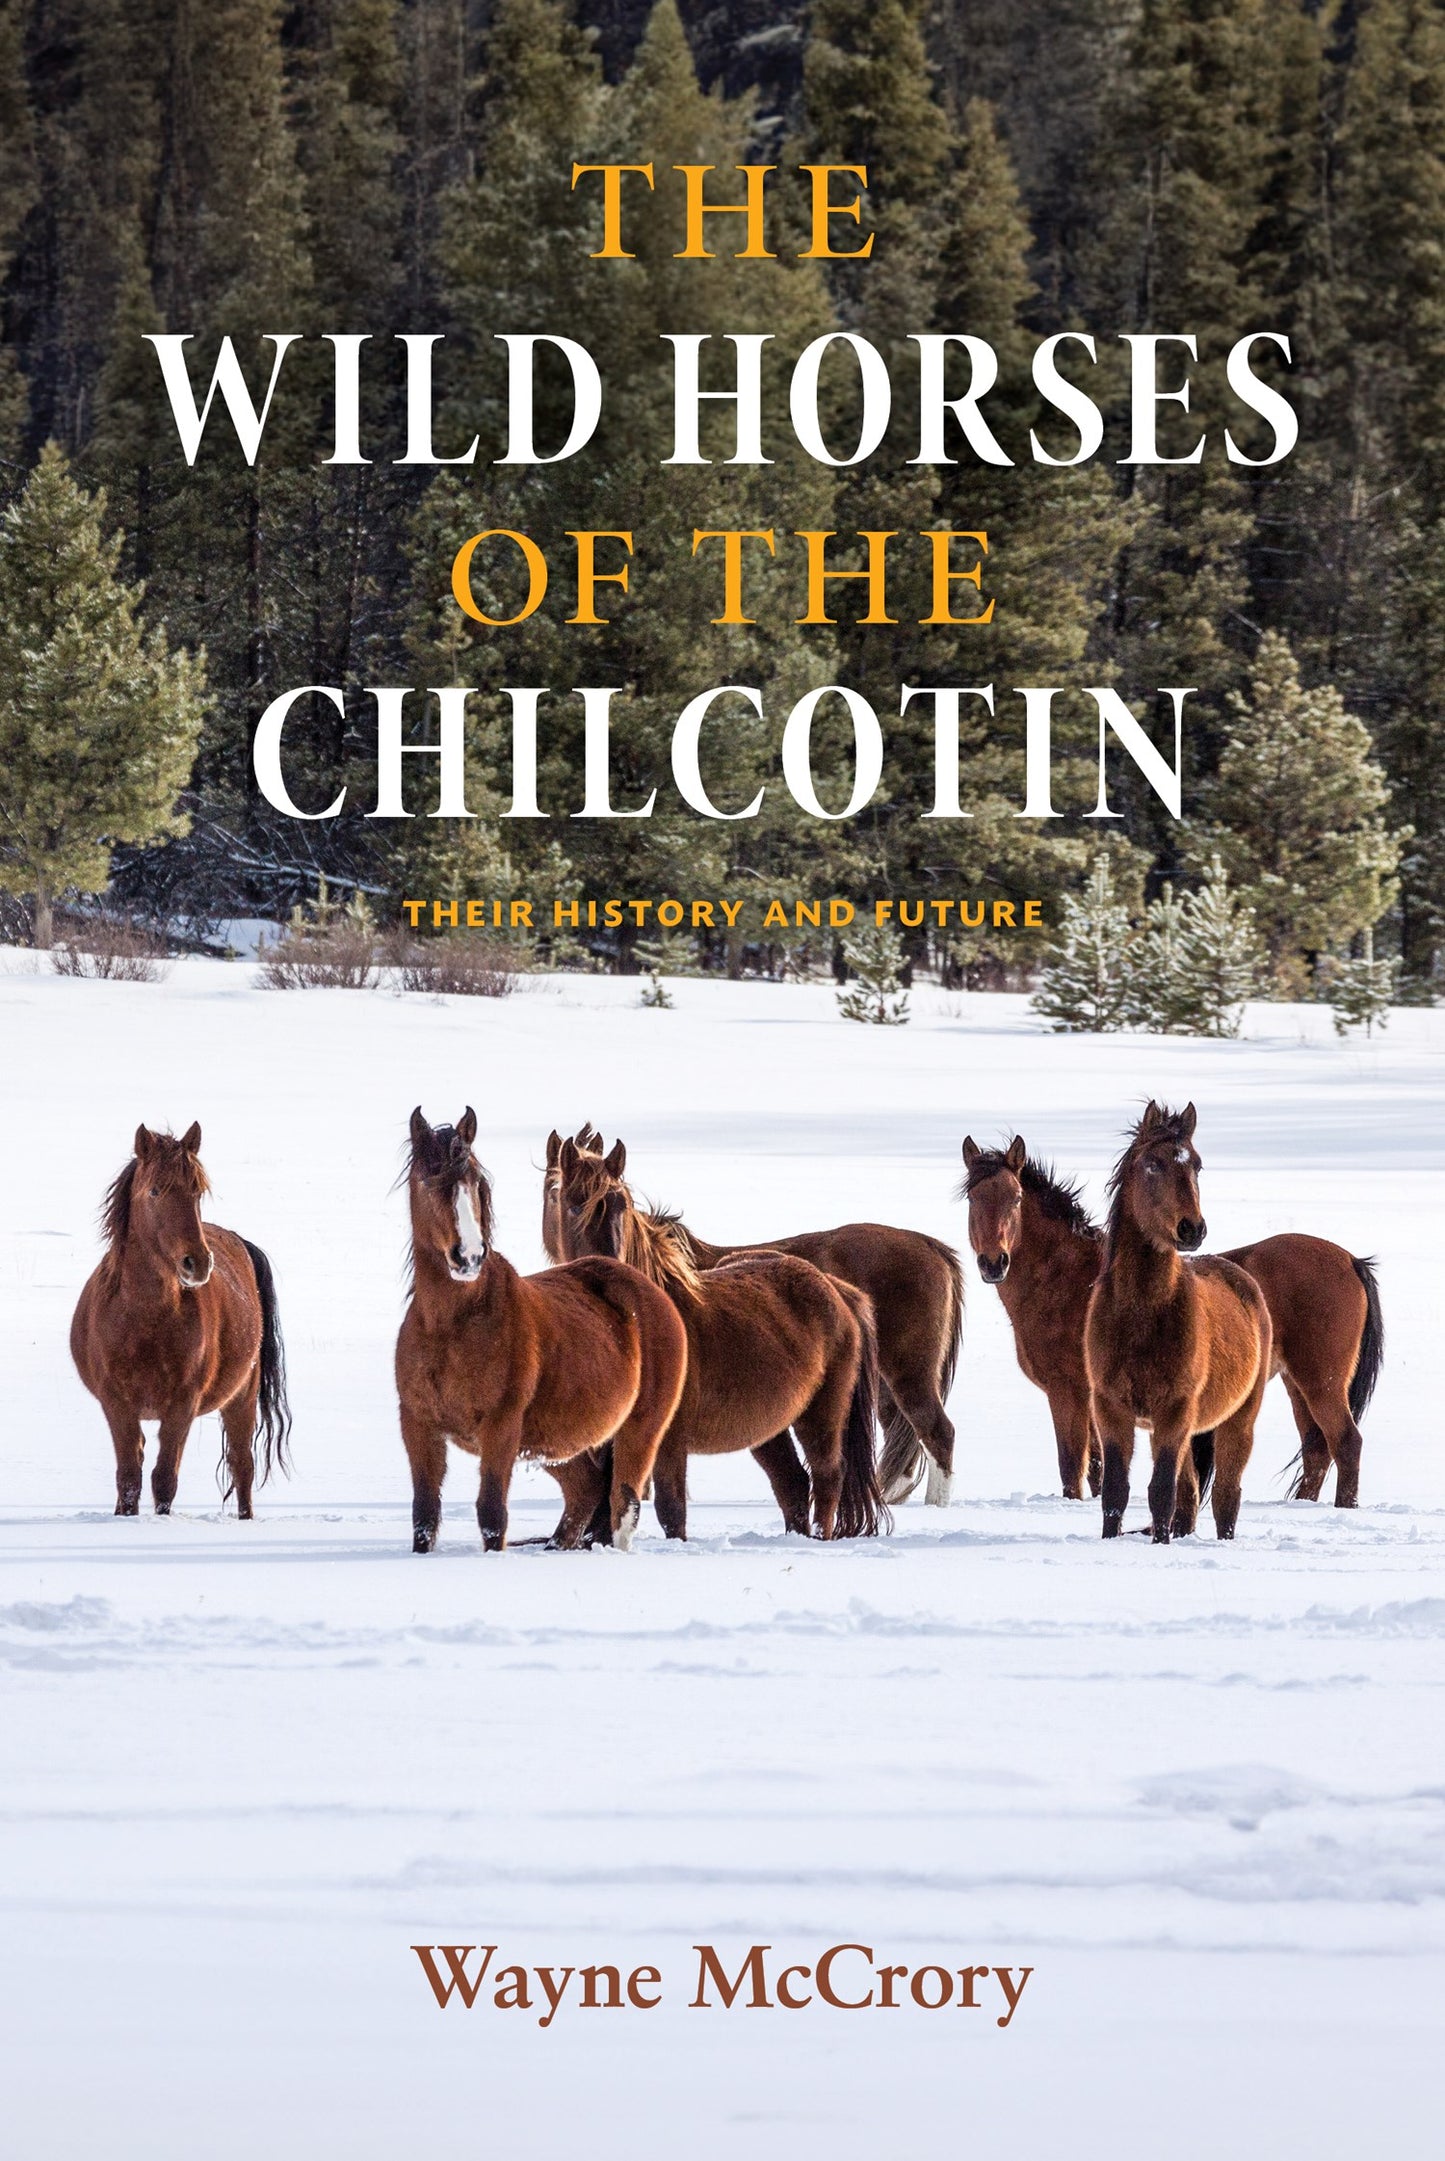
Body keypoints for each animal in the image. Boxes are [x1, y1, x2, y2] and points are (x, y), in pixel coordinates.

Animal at [70, 1123, 291, 1517]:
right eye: (155, 1190)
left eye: (197, 1191)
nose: (197, 1263)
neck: (143, 1321)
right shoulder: (116, 1403)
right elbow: (129, 1478)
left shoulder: (182, 1404)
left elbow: (164, 1480)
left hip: (241, 1396)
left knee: (243, 1465)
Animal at [396, 1109, 689, 1552]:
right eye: (427, 1181)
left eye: (477, 1183)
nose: (468, 1257)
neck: (452, 1326)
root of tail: (647, 1289)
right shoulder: (418, 1425)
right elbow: (424, 1516)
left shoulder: (500, 1429)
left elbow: (491, 1516)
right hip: (561, 1445)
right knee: (585, 1493)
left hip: (639, 1431)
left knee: (624, 1505)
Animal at [961, 1134, 1383, 1508]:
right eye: (973, 1197)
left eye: (1015, 1197)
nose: (994, 1262)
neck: (1069, 1277)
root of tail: (1350, 1260)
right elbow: (1097, 1469)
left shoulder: (1067, 1392)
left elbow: (1071, 1466)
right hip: (1298, 1383)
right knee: (1317, 1451)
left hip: (1321, 1382)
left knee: (1346, 1444)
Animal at [1084, 1102, 1272, 1542]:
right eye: (1152, 1164)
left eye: (1197, 1165)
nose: (1192, 1228)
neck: (1140, 1315)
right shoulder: (1110, 1408)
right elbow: (1116, 1491)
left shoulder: (1174, 1410)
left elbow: (1161, 1492)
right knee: (1190, 1495)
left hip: (1238, 1419)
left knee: (1225, 1495)